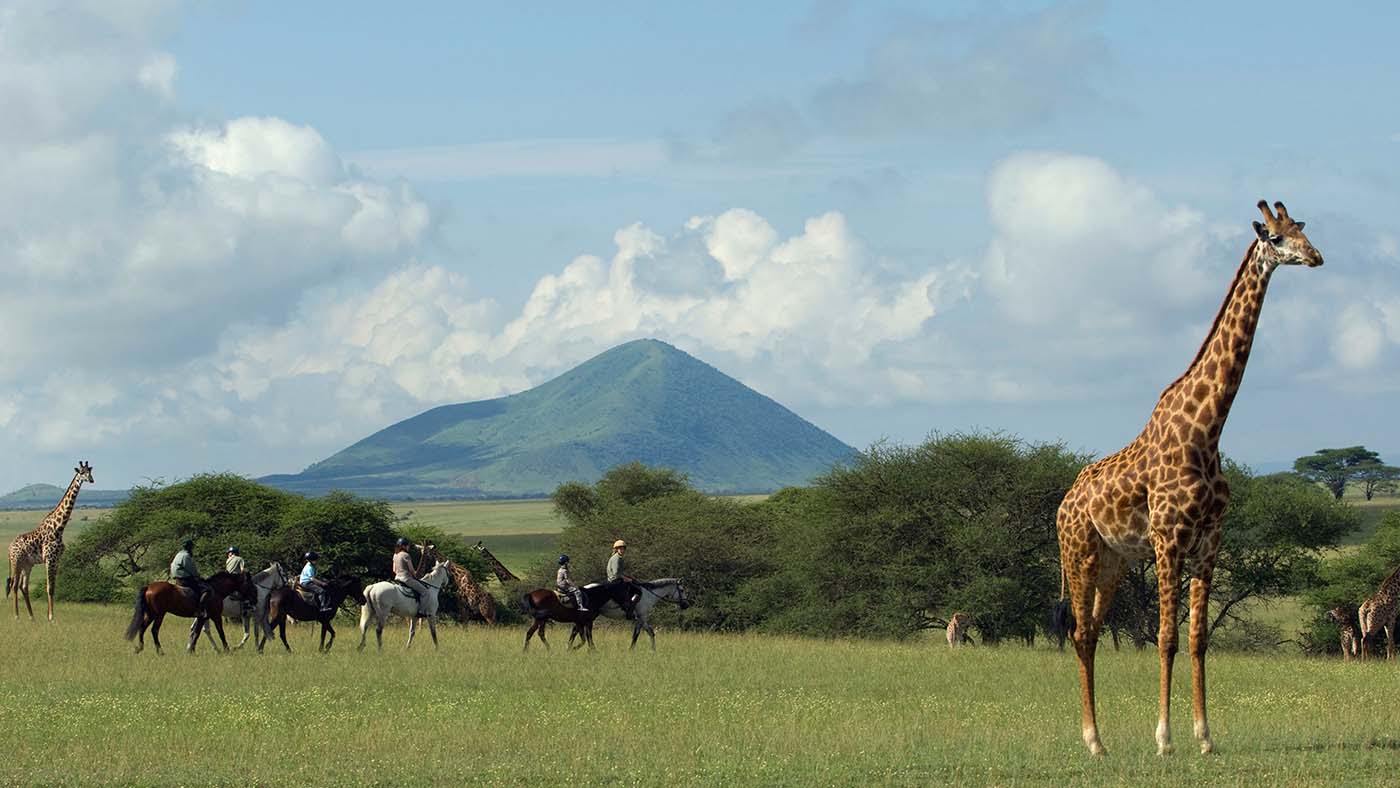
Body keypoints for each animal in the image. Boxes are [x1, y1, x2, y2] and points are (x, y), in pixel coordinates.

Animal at [5, 461, 94, 624]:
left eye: (90, 472)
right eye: (81, 472)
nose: (91, 480)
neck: (59, 528)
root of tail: (9, 547)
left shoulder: (57, 559)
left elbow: (53, 587)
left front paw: (49, 616)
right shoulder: (50, 558)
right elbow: (49, 587)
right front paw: (51, 617)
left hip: (27, 564)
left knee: (23, 586)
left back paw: (32, 617)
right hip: (16, 561)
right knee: (14, 585)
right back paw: (17, 616)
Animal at [123, 571, 257, 657]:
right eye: (250, 585)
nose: (255, 600)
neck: (216, 590)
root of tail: (149, 587)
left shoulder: (202, 617)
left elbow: (197, 633)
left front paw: (191, 650)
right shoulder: (216, 616)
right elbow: (220, 633)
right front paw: (227, 649)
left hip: (151, 614)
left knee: (142, 628)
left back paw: (140, 648)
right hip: (159, 614)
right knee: (154, 630)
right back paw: (160, 651)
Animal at [1058, 200, 1321, 755]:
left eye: (1302, 231)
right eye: (1277, 239)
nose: (1316, 257)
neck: (1207, 429)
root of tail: (1064, 502)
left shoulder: (1210, 541)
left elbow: (1199, 638)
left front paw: (1205, 738)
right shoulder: (1169, 538)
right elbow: (1167, 638)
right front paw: (1164, 739)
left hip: (1114, 562)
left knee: (1091, 631)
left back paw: (1102, 741)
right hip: (1080, 553)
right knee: (1080, 633)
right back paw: (1092, 741)